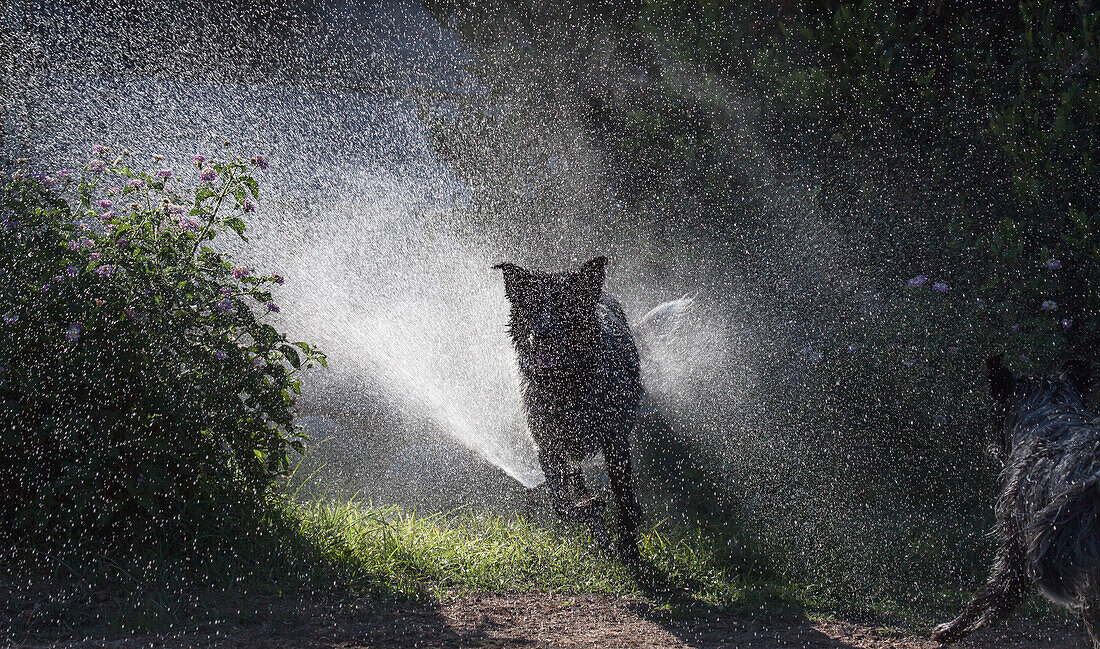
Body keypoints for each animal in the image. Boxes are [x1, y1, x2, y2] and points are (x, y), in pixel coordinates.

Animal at [492, 258, 642, 563]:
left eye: (564, 306)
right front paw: (588, 509)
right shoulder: (548, 445)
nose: (542, 334)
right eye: (532, 306)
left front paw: (629, 547)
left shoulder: (615, 442)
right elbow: (560, 503)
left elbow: (623, 500)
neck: (565, 385)